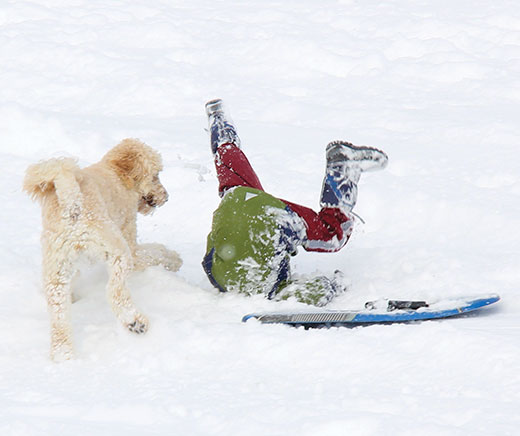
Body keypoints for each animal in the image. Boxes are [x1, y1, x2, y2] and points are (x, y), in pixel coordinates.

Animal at [23, 139, 183, 362]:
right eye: (155, 175)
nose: (166, 197)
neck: (117, 172)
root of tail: (70, 205)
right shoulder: (130, 239)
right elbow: (154, 252)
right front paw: (174, 259)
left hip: (56, 267)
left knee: (58, 312)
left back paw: (62, 353)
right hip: (116, 249)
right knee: (114, 290)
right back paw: (134, 321)